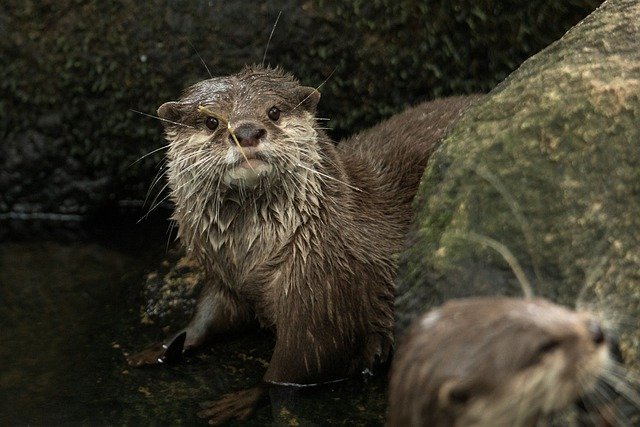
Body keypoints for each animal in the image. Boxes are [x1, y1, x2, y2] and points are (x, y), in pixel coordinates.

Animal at [129, 67, 480, 424]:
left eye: (273, 111)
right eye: (211, 121)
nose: (246, 131)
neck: (252, 260)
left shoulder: (323, 291)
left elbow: (299, 364)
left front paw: (245, 397)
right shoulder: (224, 276)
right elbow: (209, 314)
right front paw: (163, 346)